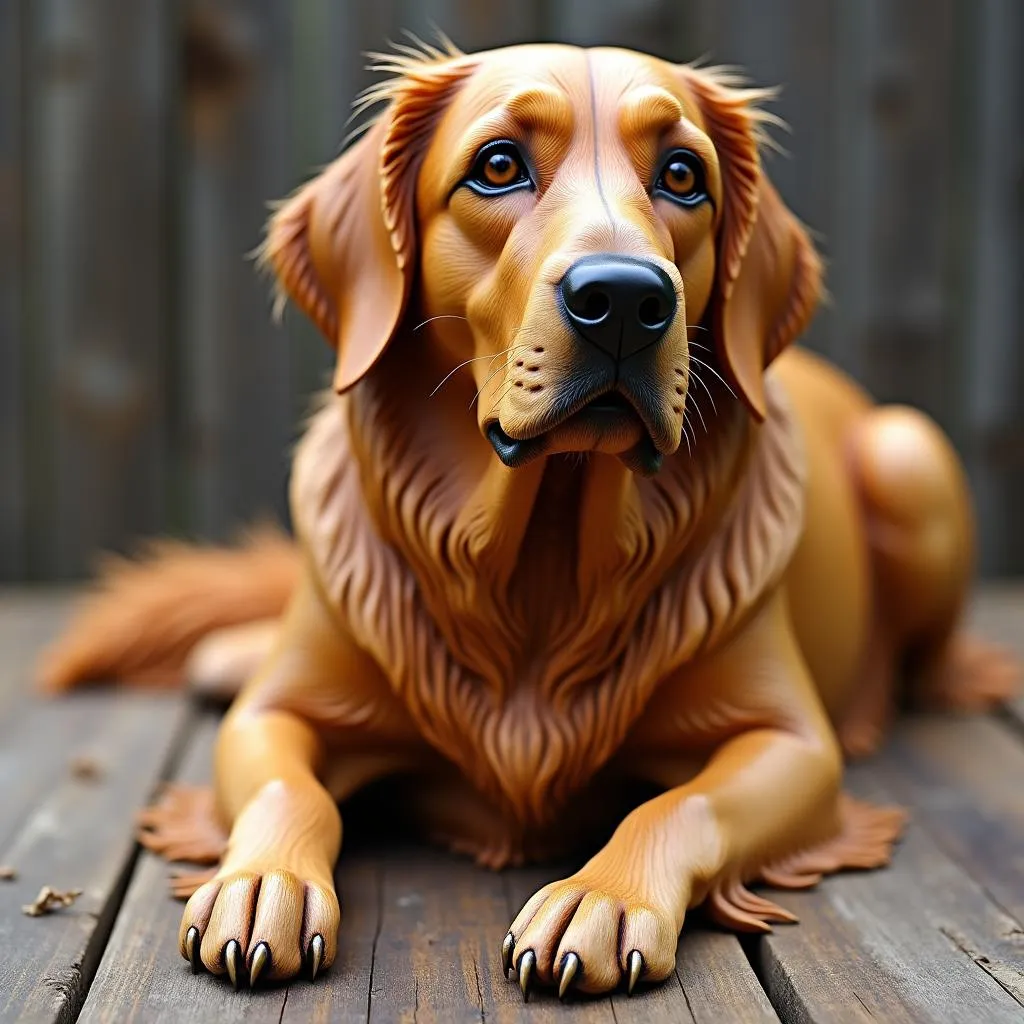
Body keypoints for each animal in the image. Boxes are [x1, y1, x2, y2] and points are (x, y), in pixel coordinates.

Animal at [37, 41, 1015, 999]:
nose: (625, 300)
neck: (540, 553)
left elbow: (681, 802)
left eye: (684, 175)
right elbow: (289, 789)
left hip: (909, 454)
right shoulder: (273, 714)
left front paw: (600, 896)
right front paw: (260, 881)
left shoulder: (791, 744)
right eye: (499, 166)